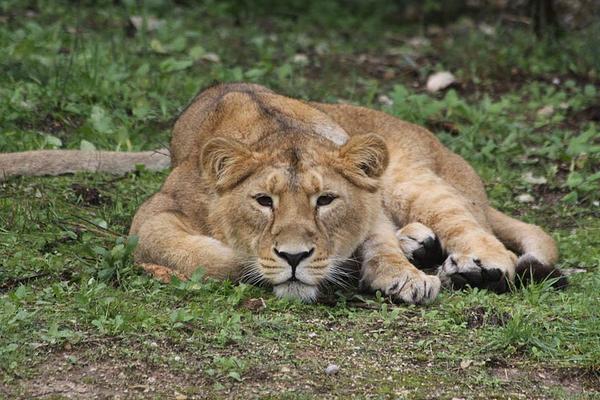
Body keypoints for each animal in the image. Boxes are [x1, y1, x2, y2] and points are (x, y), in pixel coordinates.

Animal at [1, 83, 568, 304]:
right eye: (263, 201)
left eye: (326, 201)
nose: (294, 257)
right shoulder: (153, 214)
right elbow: (205, 256)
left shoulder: (366, 201)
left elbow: (376, 238)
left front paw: (402, 275)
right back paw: (423, 246)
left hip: (412, 179)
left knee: (482, 233)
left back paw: (474, 266)